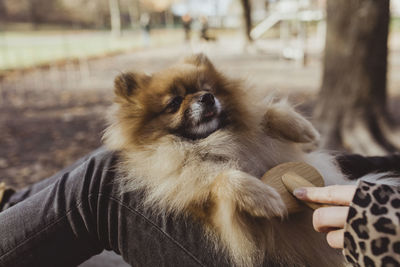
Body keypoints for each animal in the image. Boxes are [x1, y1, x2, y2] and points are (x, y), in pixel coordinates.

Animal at [103, 53, 346, 266]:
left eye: (207, 89)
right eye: (175, 102)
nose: (207, 98)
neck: (208, 140)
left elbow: (263, 113)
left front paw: (302, 128)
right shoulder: (203, 198)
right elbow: (223, 178)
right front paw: (262, 196)